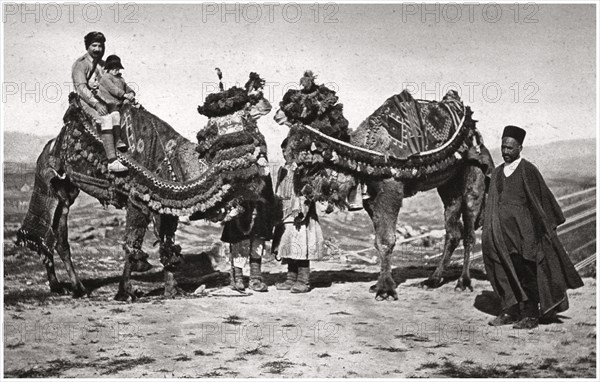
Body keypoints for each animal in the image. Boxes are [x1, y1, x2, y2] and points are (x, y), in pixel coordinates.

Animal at [15, 74, 274, 302]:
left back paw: (68, 287)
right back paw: (70, 287)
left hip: (66, 192)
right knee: (45, 227)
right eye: (236, 112)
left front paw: (172, 290)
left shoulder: (165, 205)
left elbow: (168, 245)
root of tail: (49, 145)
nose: (268, 104)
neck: (177, 161)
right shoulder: (138, 199)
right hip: (46, 179)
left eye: (245, 110)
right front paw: (125, 293)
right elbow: (133, 246)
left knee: (57, 236)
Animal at [276, 71, 492, 298]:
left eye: (303, 99)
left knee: (469, 231)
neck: (365, 151)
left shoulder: (391, 187)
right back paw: (432, 280)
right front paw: (379, 285)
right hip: (448, 186)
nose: (277, 113)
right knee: (453, 231)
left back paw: (463, 281)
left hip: (473, 173)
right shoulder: (371, 196)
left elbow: (387, 239)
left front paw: (385, 289)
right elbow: (378, 240)